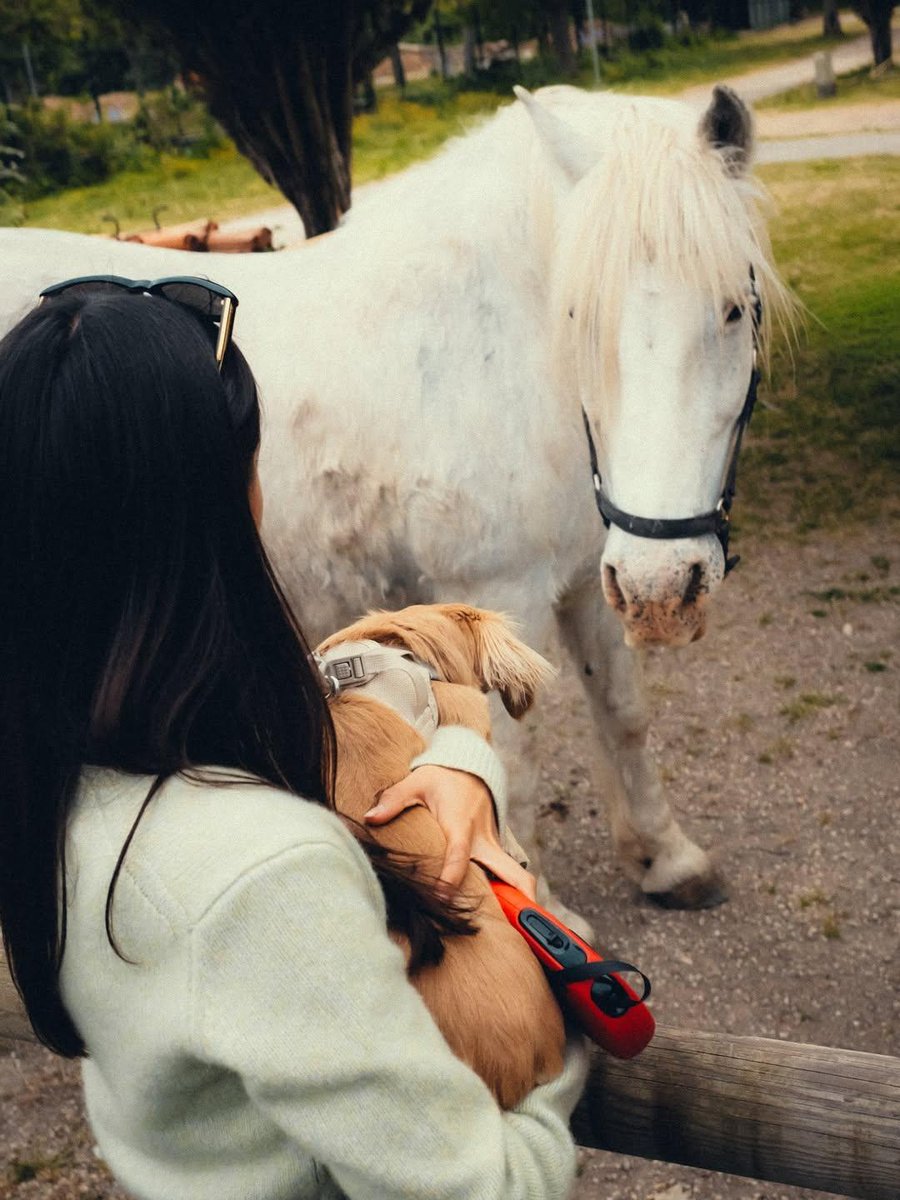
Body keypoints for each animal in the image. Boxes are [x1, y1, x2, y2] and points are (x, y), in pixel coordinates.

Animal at [0, 84, 791, 916]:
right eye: (582, 317)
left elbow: (624, 715)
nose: (664, 593)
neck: (508, 356)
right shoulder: (500, 592)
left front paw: (666, 857)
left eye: (736, 309)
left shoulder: (586, 579)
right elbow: (513, 761)